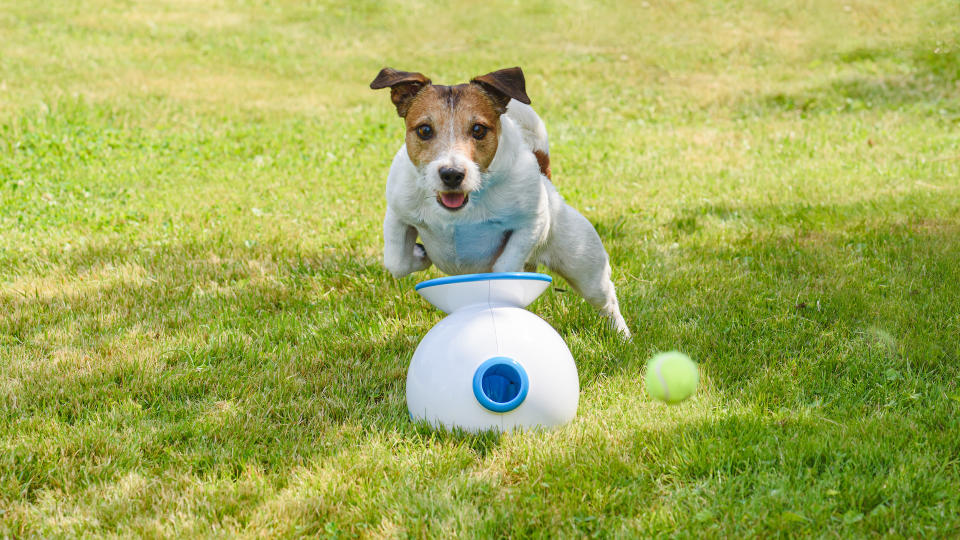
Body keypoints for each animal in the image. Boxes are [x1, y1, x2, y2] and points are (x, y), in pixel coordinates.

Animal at [370, 66, 632, 338]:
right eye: (424, 130)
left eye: (478, 129)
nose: (452, 174)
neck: (460, 213)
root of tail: (545, 177)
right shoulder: (397, 215)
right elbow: (396, 262)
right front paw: (420, 254)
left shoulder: (532, 222)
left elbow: (505, 265)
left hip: (584, 266)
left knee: (607, 301)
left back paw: (622, 336)